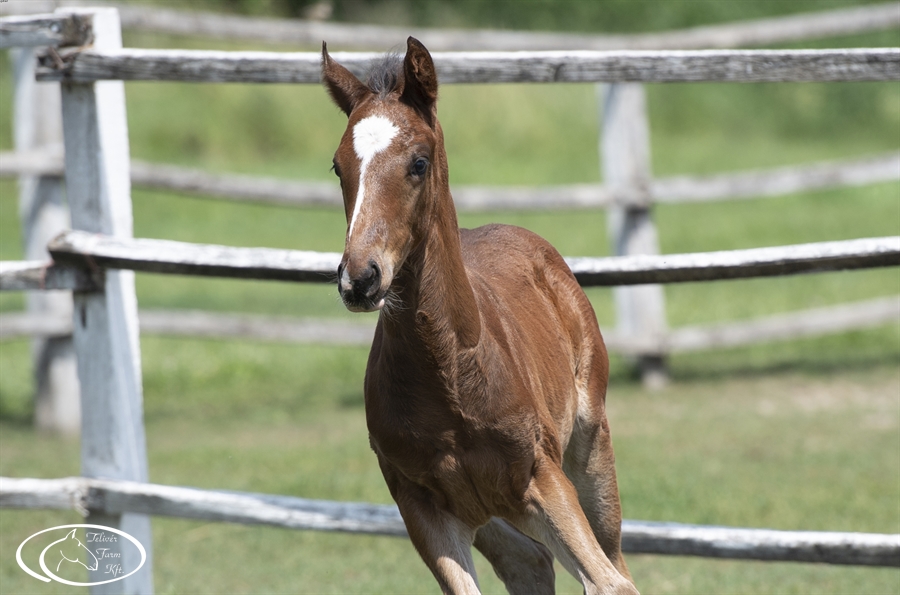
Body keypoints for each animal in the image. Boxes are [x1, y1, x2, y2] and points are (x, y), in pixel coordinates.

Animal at [324, 38, 640, 595]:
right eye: (339, 167)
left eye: (419, 162)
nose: (359, 278)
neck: (449, 369)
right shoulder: (421, 508)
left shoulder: (543, 479)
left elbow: (607, 583)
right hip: (493, 514)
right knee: (530, 562)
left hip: (589, 452)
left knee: (616, 566)